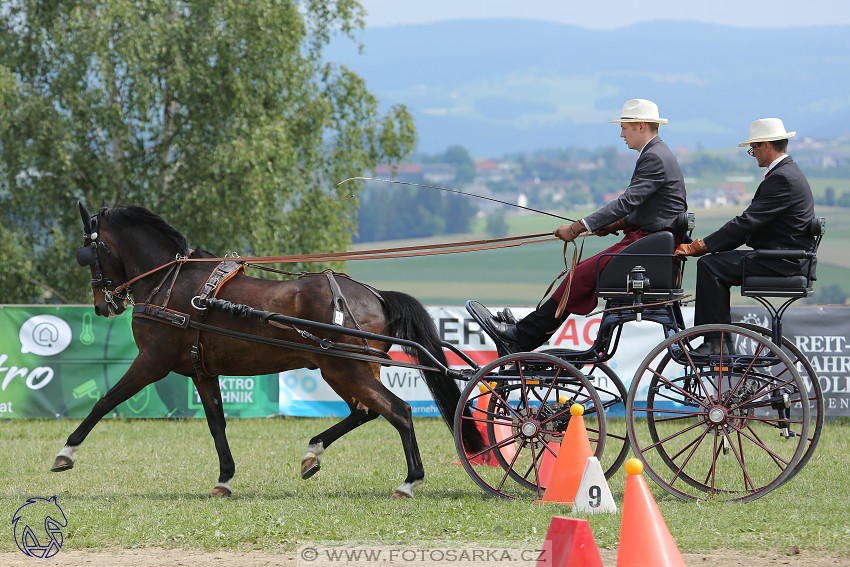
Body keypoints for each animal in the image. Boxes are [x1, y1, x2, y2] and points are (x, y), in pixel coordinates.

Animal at [54, 204, 484, 496]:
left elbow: (105, 400)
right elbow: (216, 423)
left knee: (399, 411)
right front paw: (225, 478)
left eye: (89, 252)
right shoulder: (202, 371)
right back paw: (313, 452)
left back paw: (409, 481)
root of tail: (375, 295)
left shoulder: (151, 362)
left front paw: (66, 452)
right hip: (349, 370)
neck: (168, 282)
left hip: (345, 369)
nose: (102, 305)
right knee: (365, 411)